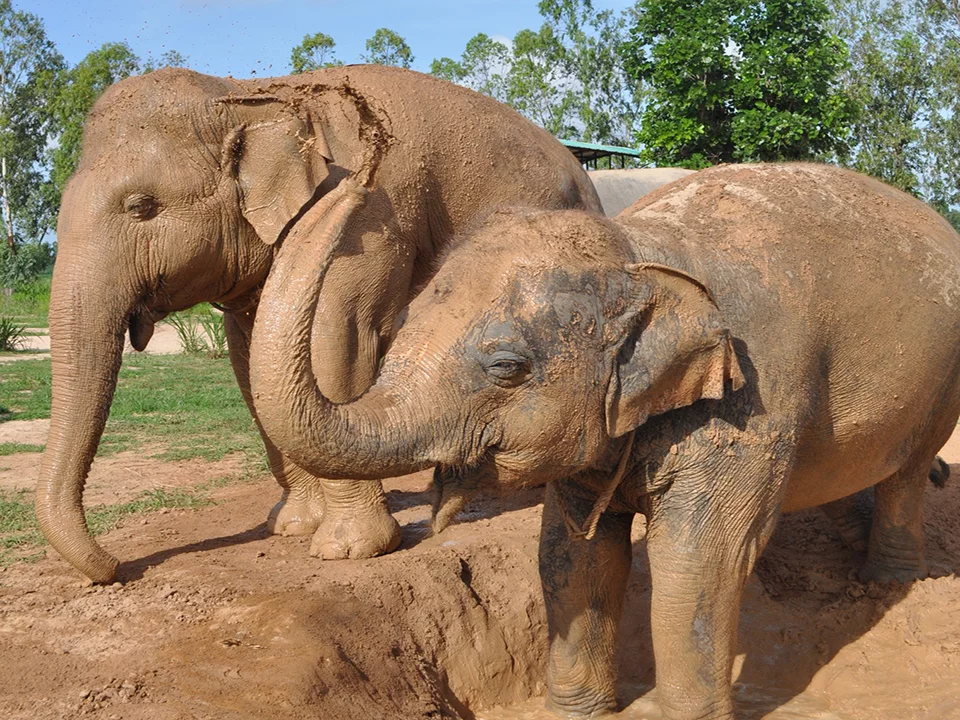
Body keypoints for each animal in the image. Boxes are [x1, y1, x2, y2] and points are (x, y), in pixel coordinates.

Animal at [38, 64, 601, 584]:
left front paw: (351, 549)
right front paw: (290, 526)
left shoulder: (373, 219)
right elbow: (250, 362)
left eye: (141, 207)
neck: (247, 96)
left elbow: (335, 338)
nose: (119, 568)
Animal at [246, 164, 960, 720]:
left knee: (908, 472)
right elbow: (573, 557)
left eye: (507, 366)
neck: (638, 254)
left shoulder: (751, 405)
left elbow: (698, 561)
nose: (352, 174)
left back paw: (887, 582)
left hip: (941, 385)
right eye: (395, 332)